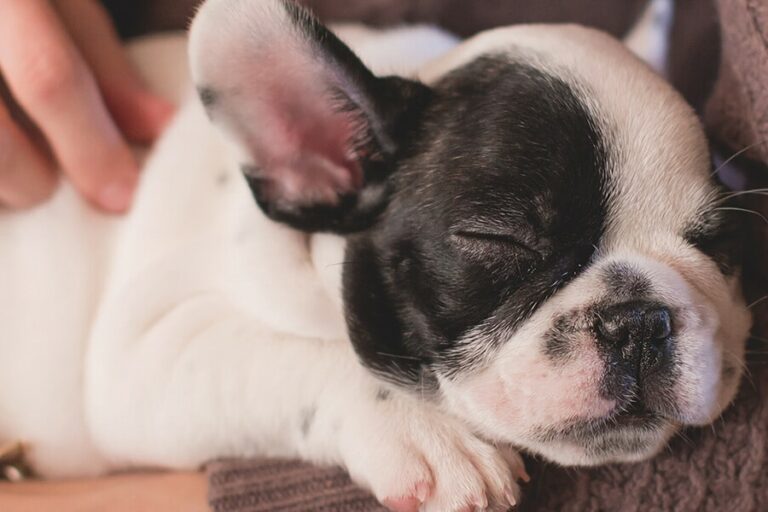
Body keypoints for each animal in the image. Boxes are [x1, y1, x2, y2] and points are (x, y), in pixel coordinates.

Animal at [0, 0, 752, 510]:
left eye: (718, 240)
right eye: (497, 239)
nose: (640, 320)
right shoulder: (148, 350)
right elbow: (295, 355)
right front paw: (425, 429)